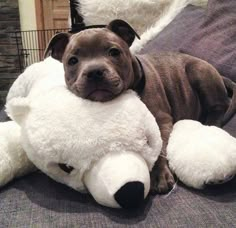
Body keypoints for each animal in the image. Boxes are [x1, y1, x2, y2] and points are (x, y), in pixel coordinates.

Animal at [44, 20, 236, 194]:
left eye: (114, 52)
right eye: (72, 61)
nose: (94, 71)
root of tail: (220, 75)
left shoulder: (162, 120)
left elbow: (160, 148)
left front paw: (159, 176)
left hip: (198, 71)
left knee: (221, 106)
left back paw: (210, 122)